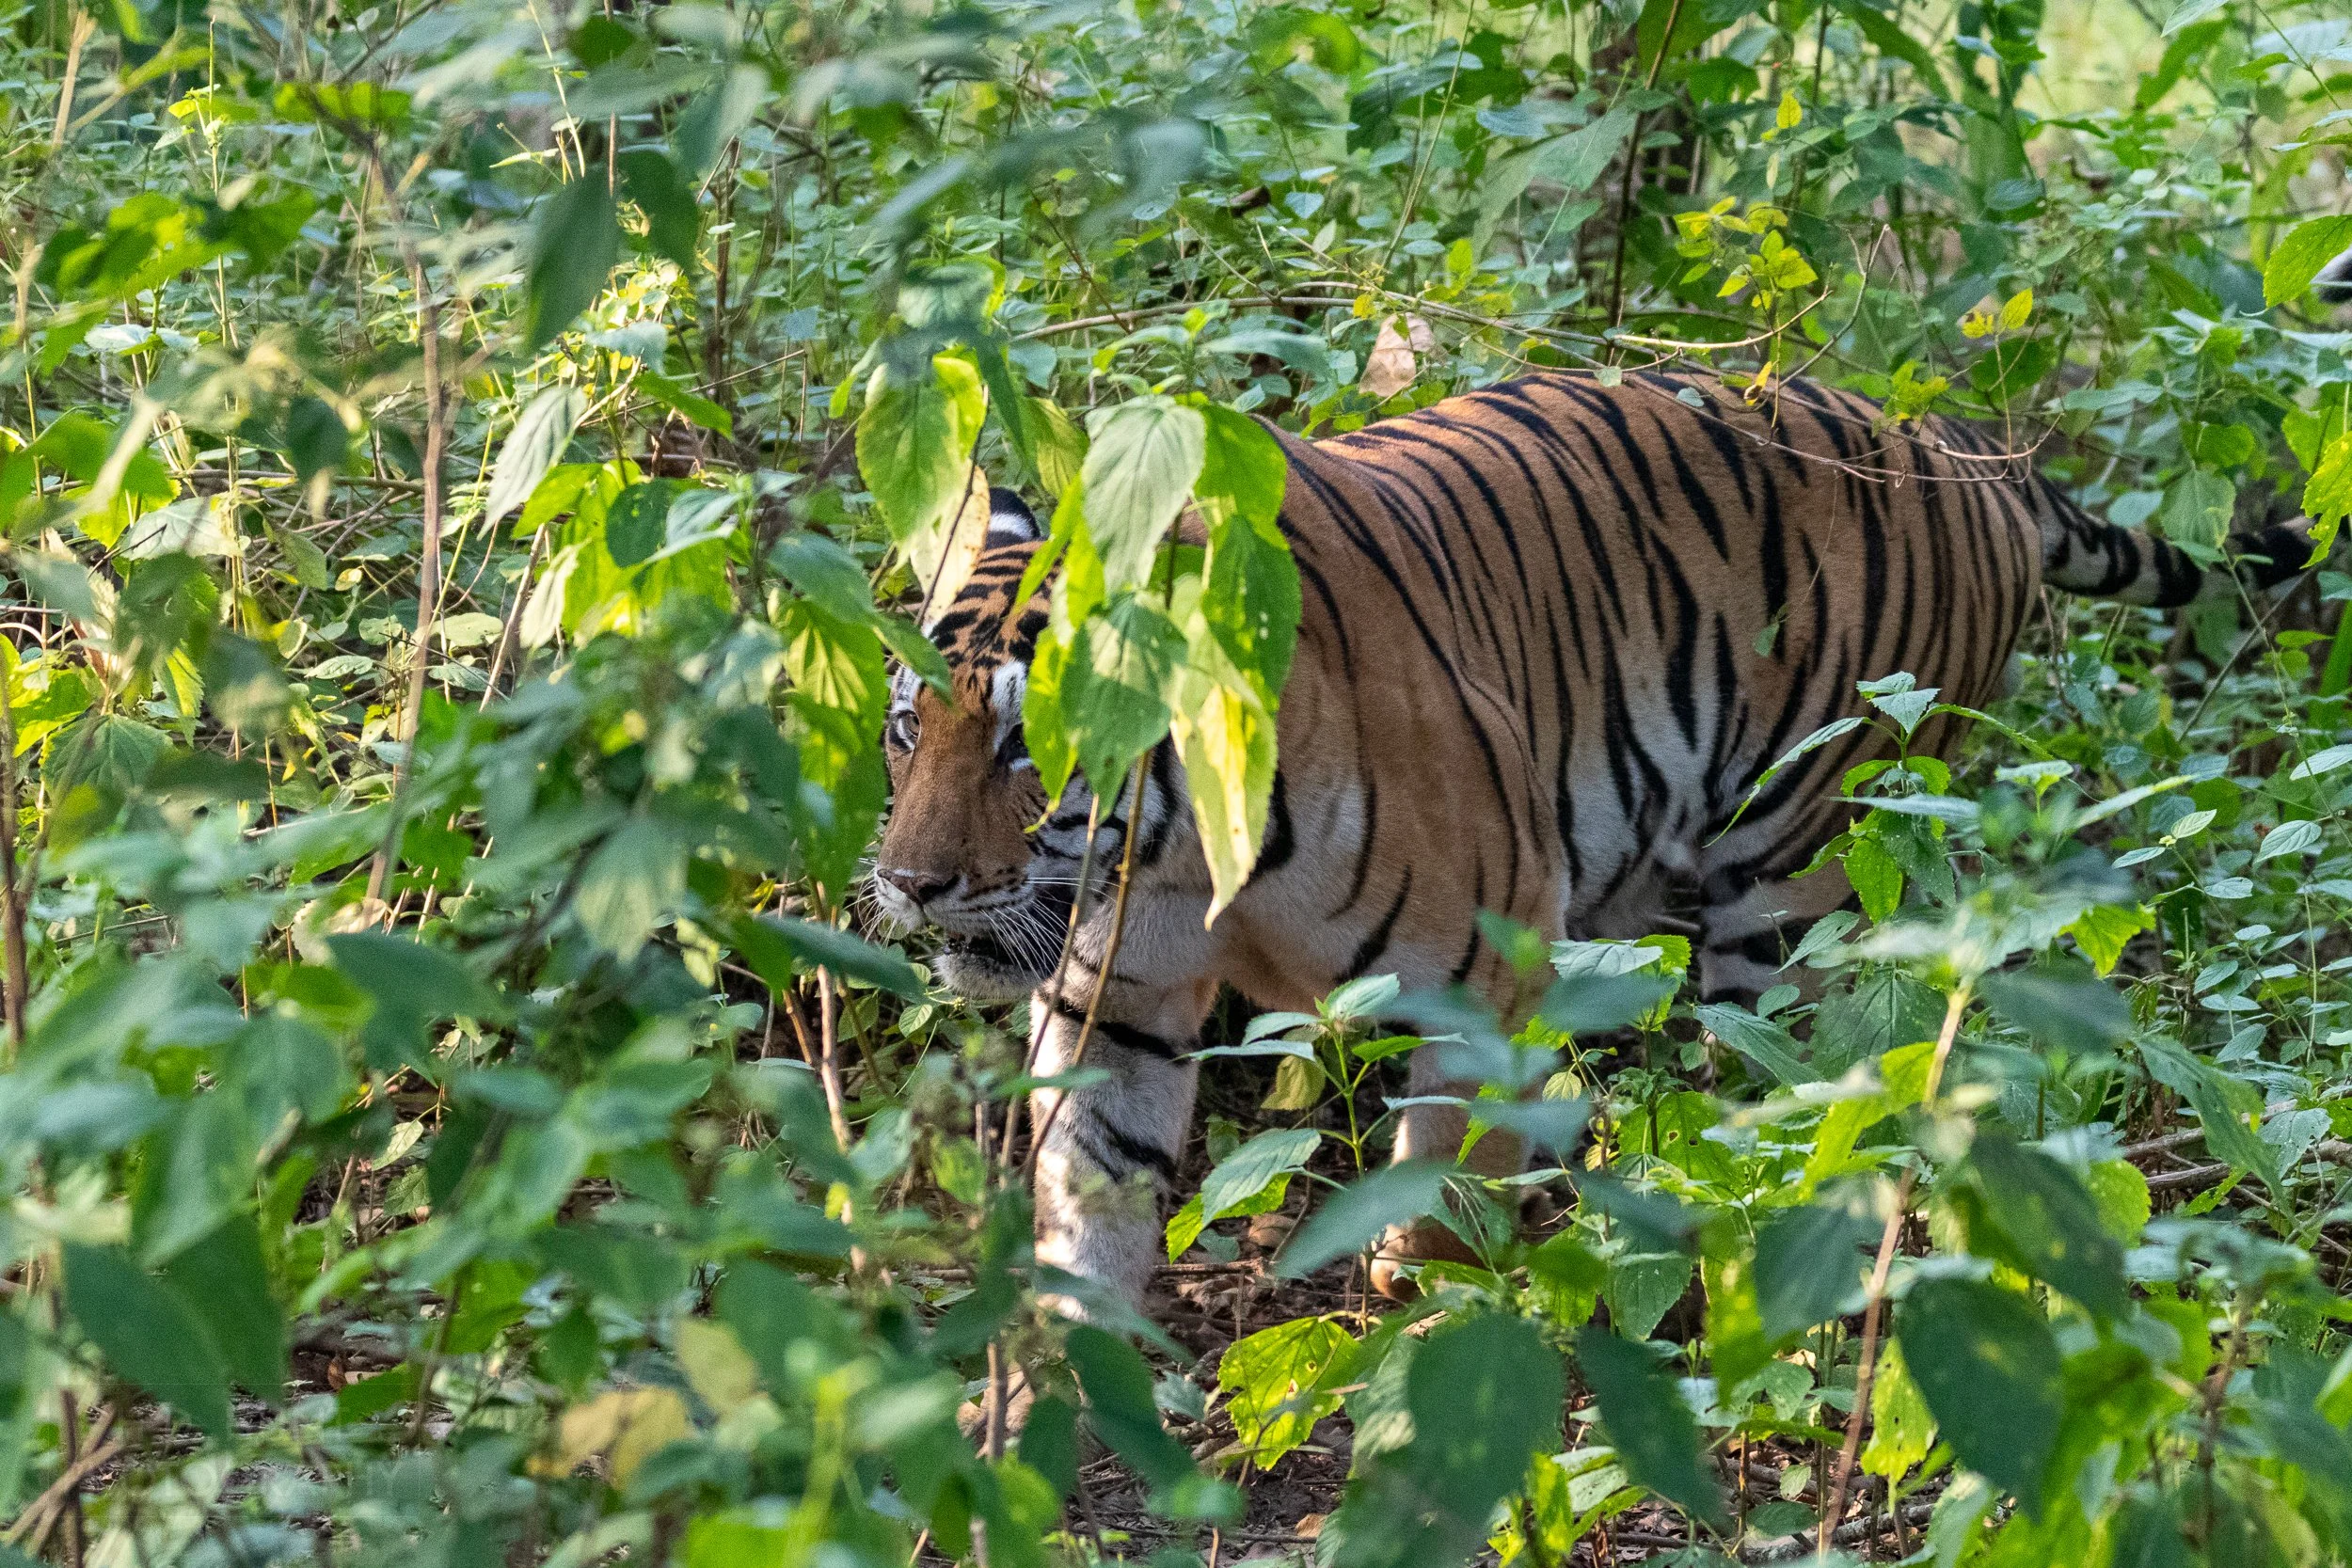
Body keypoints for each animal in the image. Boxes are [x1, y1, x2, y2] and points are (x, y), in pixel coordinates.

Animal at [870, 370, 2309, 1310]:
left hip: (1796, 861)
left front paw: (1430, 1314)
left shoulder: (1487, 968)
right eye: (903, 730)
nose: (906, 882)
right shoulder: (1113, 991)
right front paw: (1054, 1383)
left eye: (1028, 743)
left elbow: (1448, 1174)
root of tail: (1957, 443)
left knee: (1781, 1083)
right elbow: (1092, 1190)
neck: (1175, 852)